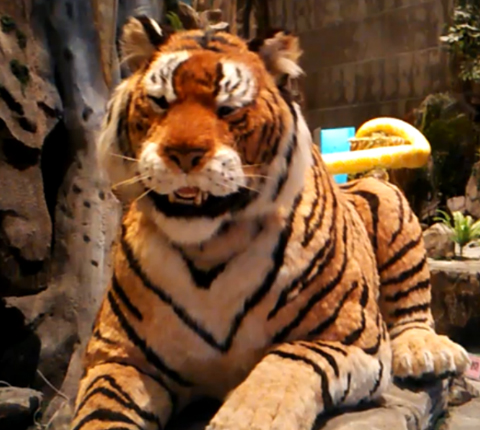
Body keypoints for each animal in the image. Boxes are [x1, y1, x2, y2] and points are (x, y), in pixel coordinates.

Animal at [71, 15, 470, 430]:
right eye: (161, 102)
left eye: (227, 108)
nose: (182, 154)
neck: (207, 251)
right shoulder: (118, 356)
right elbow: (101, 410)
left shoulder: (349, 337)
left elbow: (284, 367)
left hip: (387, 199)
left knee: (414, 305)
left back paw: (425, 353)